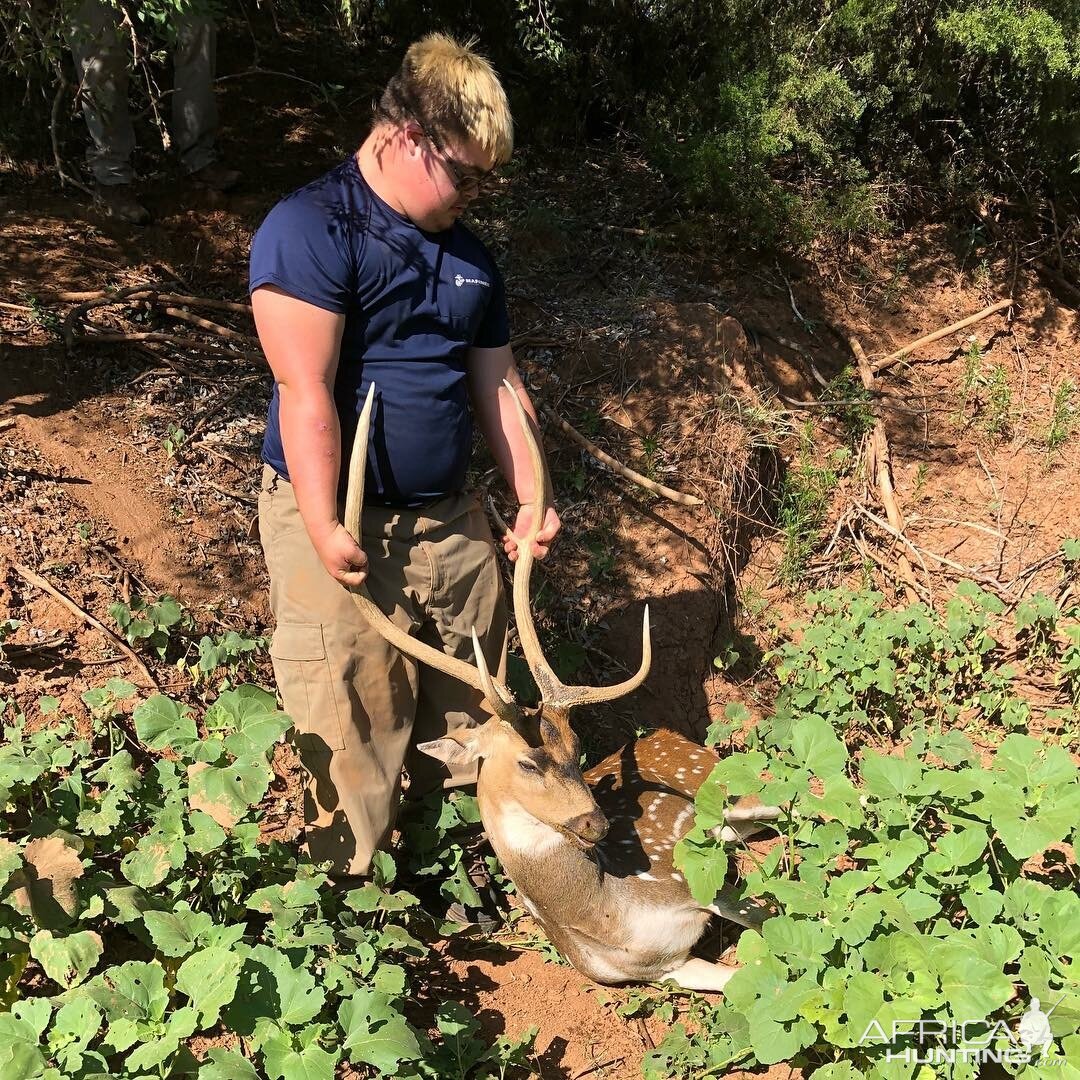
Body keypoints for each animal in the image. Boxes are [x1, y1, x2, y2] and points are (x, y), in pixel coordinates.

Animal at [343, 384, 777, 989]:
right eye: (529, 762)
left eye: (576, 749)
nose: (595, 822)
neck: (614, 917)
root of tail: (670, 733)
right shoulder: (664, 969)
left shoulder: (694, 880)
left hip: (732, 784)